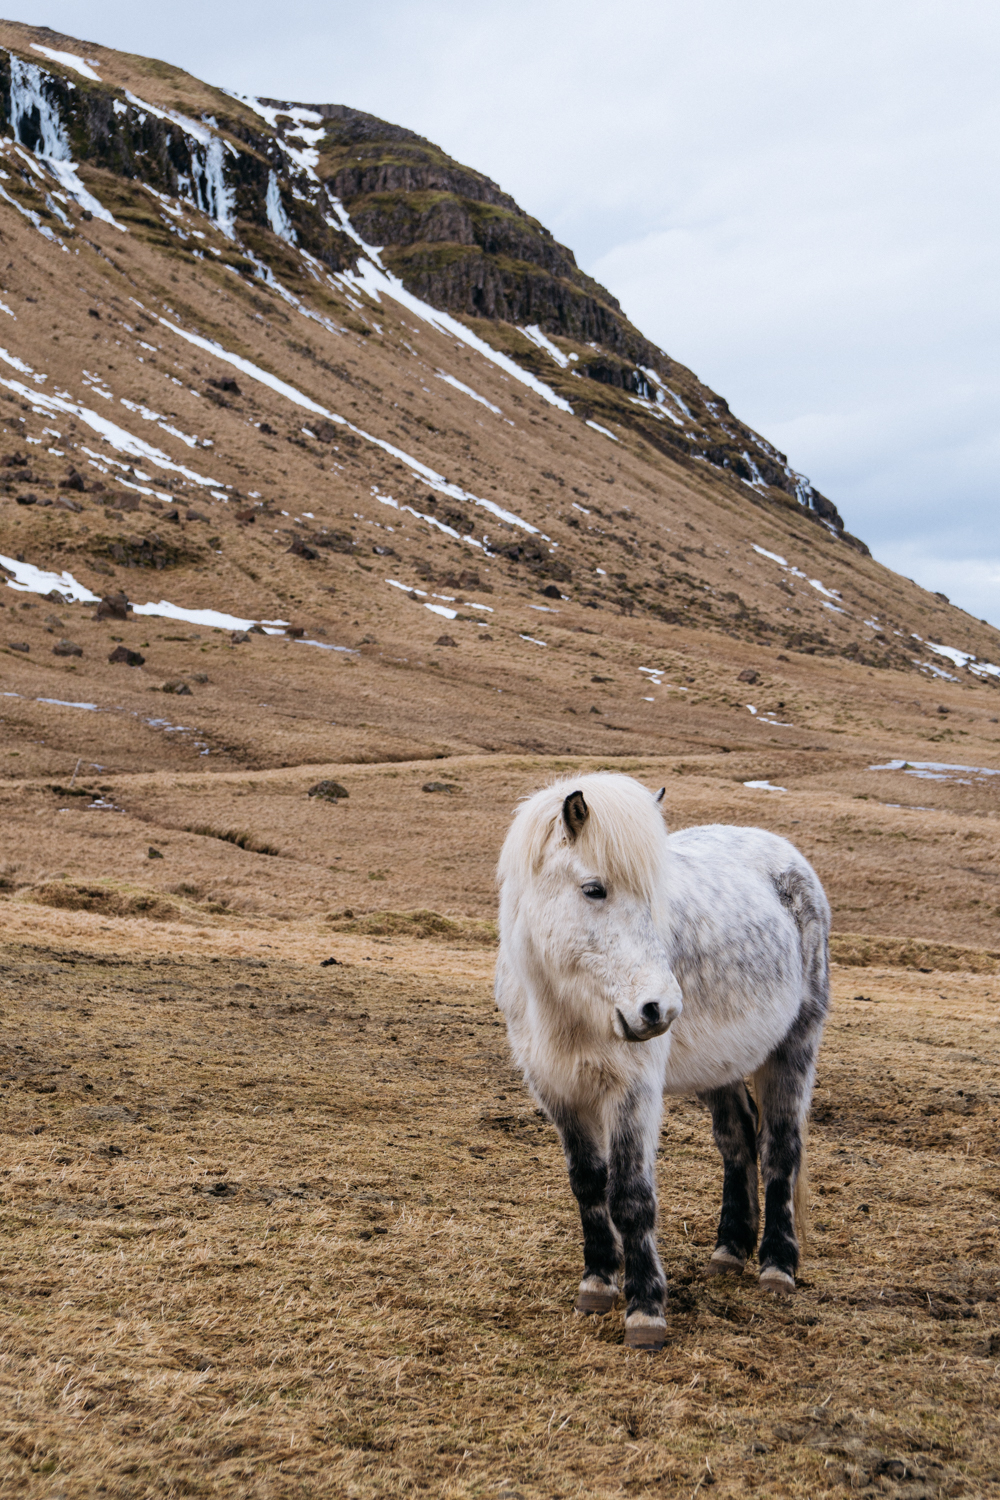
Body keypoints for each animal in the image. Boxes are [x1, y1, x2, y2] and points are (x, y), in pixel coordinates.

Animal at [491, 774, 827, 1350]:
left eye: (655, 899)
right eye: (594, 889)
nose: (660, 1009)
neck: (567, 1006)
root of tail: (787, 855)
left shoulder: (634, 1091)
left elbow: (630, 1195)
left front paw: (645, 1310)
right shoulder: (559, 1091)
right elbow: (588, 1184)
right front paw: (598, 1283)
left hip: (793, 1048)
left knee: (781, 1147)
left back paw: (777, 1266)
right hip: (721, 1066)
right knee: (738, 1138)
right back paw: (729, 1250)